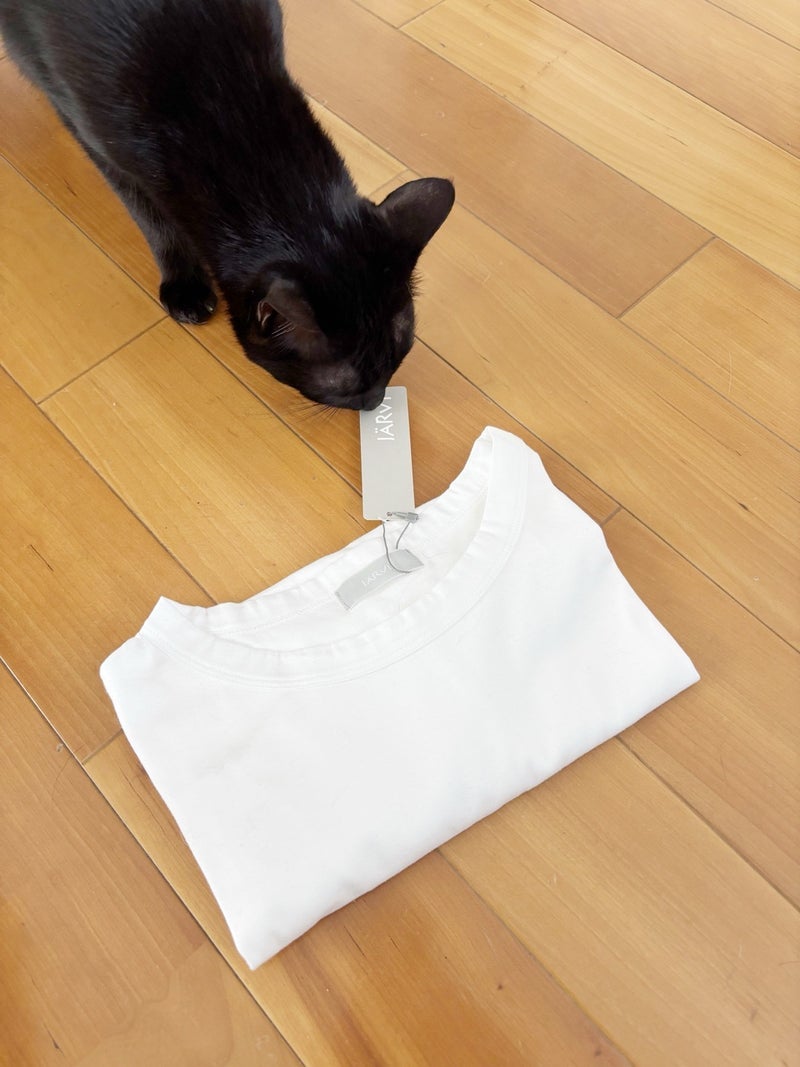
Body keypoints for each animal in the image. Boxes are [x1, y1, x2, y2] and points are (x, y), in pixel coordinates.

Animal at [0, 0, 455, 409]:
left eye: (396, 359)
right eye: (344, 388)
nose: (376, 401)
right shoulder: (100, 140)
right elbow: (151, 218)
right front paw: (184, 284)